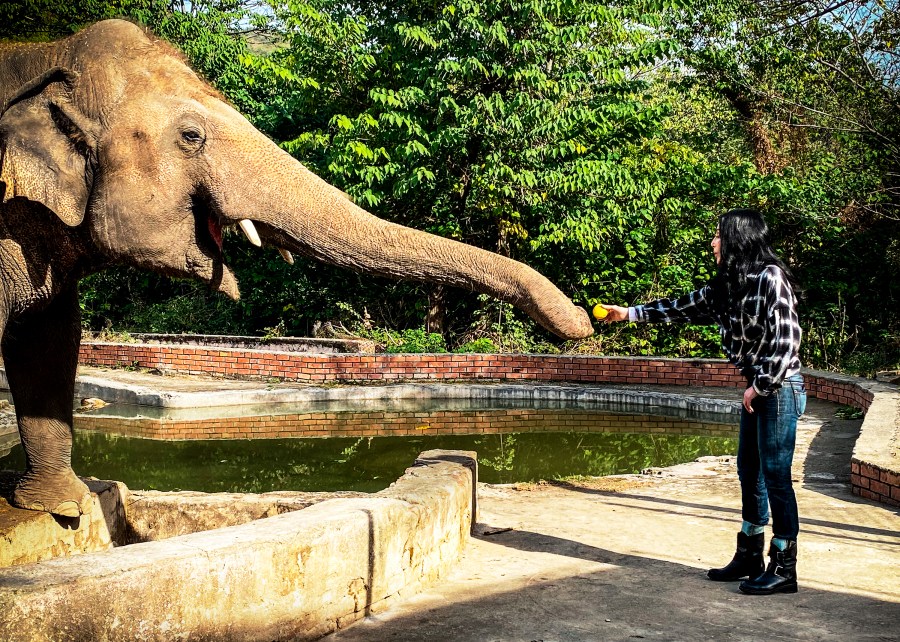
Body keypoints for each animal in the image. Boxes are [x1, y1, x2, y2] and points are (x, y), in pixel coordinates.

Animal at [0, 18, 596, 516]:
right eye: (191, 136)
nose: (587, 323)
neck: (48, 53)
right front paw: (63, 509)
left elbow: (50, 337)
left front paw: (66, 506)